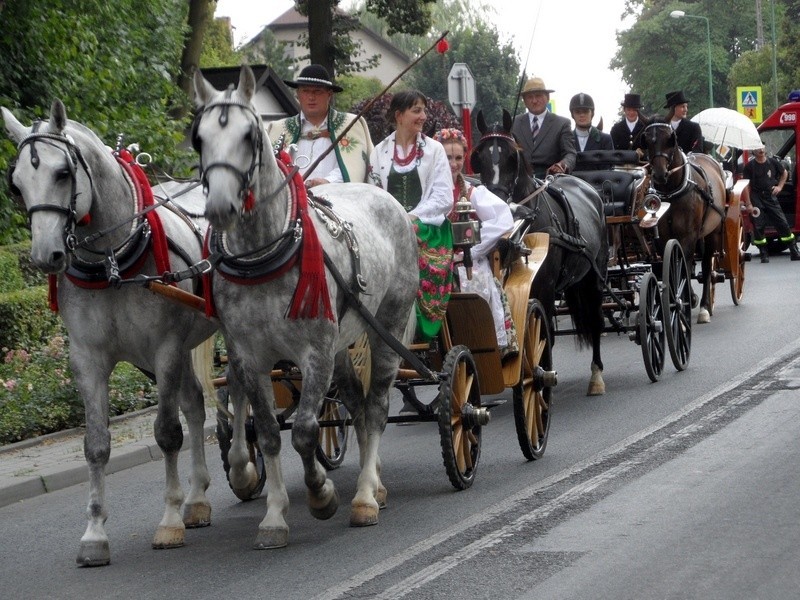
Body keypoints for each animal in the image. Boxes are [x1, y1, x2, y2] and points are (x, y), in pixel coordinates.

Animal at [2, 101, 219, 564]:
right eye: (16, 184)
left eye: (62, 172)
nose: (45, 255)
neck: (114, 262)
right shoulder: (88, 360)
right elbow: (97, 444)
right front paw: (94, 534)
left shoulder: (164, 349)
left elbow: (166, 433)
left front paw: (168, 521)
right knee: (195, 406)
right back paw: (197, 499)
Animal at [194, 65, 418, 548]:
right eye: (198, 138)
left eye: (248, 136)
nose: (220, 207)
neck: (263, 257)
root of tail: (386, 198)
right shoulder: (250, 357)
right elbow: (269, 434)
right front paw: (274, 517)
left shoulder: (313, 353)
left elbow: (304, 431)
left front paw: (322, 494)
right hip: (342, 343)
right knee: (355, 403)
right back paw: (372, 483)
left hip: (385, 326)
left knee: (376, 407)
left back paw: (365, 496)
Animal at [472, 110, 608, 396]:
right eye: (478, 157)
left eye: (512, 157)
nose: (495, 206)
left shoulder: (544, 287)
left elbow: (544, 337)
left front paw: (539, 379)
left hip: (594, 277)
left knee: (595, 320)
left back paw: (596, 377)